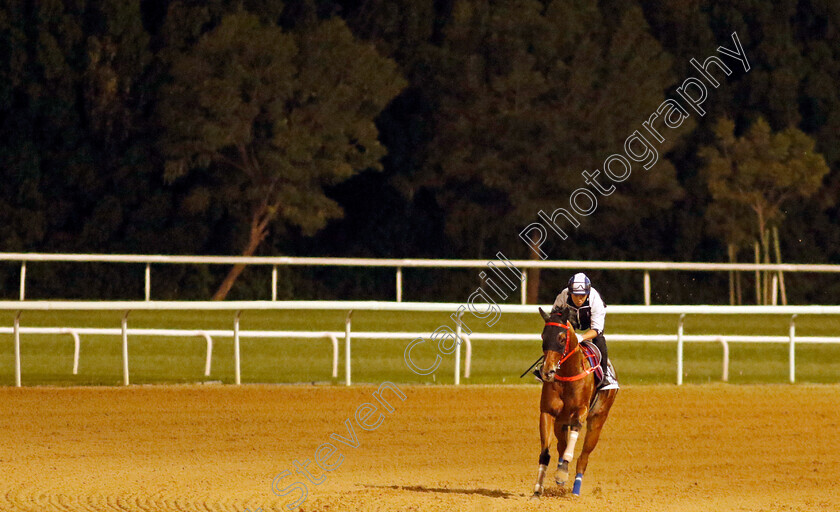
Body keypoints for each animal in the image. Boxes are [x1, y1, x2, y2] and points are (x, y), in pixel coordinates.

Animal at [532, 306, 616, 498]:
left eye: (562, 338)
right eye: (543, 336)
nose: (547, 371)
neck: (567, 374)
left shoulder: (581, 411)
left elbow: (574, 442)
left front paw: (563, 472)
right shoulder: (547, 412)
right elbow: (545, 453)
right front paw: (537, 490)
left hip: (597, 421)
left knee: (583, 457)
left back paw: (575, 489)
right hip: (560, 422)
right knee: (561, 445)